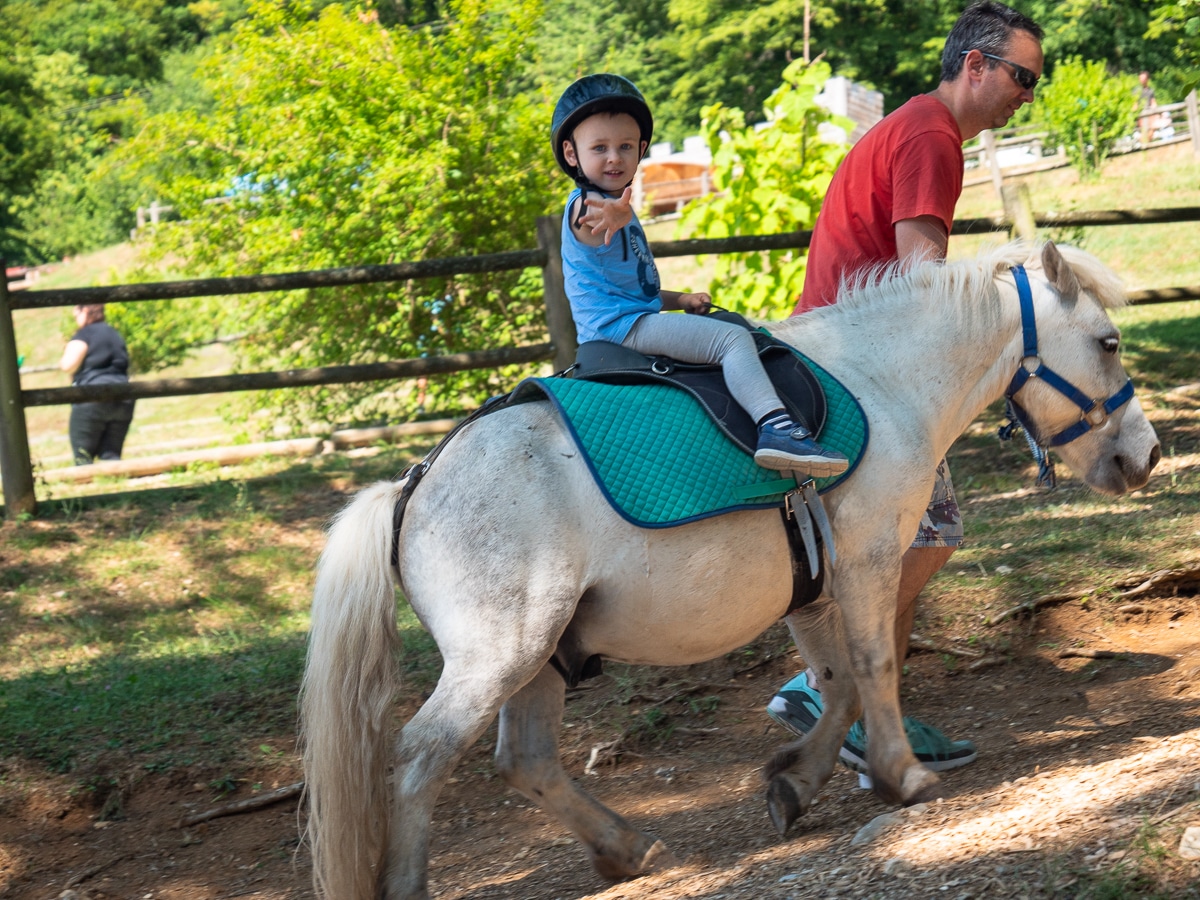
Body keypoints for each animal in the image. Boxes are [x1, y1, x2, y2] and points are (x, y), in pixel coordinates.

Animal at [300, 241, 1161, 900]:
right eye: (1109, 341)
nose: (1148, 456)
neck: (881, 385)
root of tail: (411, 486)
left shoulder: (815, 590)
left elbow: (838, 685)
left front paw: (796, 782)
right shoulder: (870, 562)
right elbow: (876, 666)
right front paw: (902, 776)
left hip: (542, 657)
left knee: (526, 761)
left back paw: (624, 848)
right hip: (499, 657)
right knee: (420, 756)